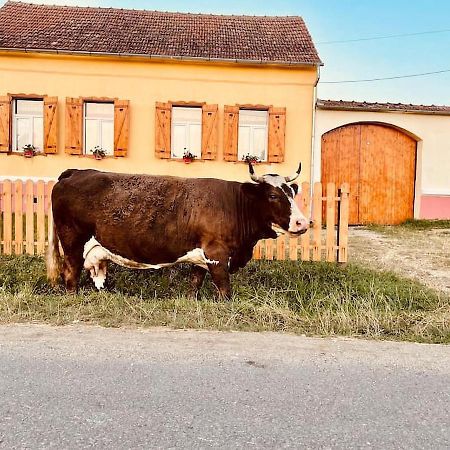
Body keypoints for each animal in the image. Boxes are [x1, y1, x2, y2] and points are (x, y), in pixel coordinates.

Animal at [47, 164, 312, 298]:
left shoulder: (201, 257)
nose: (303, 223)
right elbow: (225, 290)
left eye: (292, 191)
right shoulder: (217, 255)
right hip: (72, 242)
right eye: (273, 195)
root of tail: (77, 171)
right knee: (70, 273)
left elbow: (195, 283)